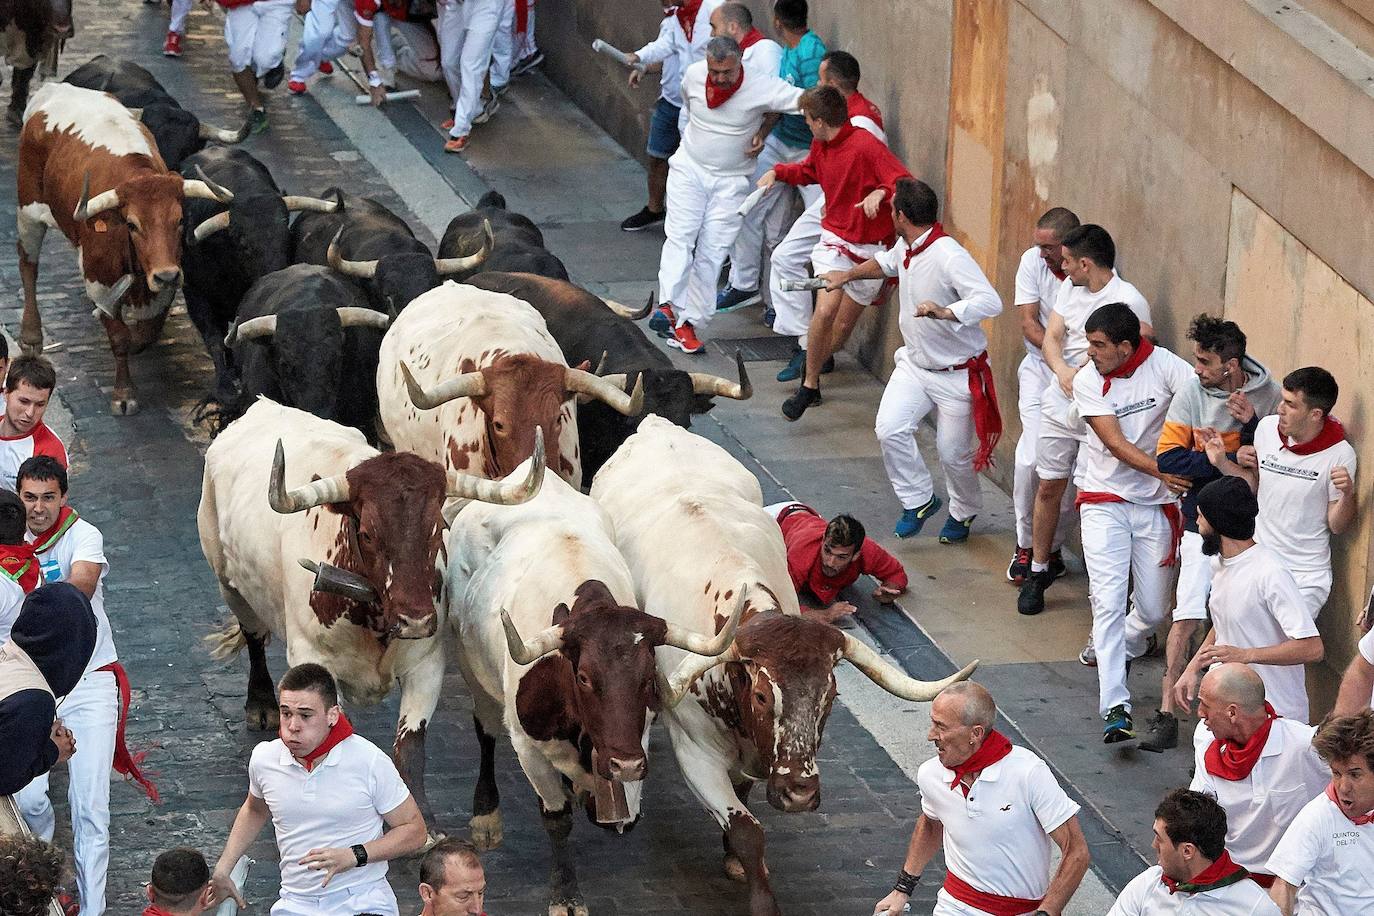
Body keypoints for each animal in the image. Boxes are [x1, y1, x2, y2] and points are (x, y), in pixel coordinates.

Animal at [18, 84, 232, 414]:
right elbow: (119, 336)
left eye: (180, 220)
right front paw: (123, 393)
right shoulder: (98, 279)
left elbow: (145, 332)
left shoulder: (164, 281)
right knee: (28, 265)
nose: (167, 275)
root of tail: (54, 88)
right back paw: (31, 334)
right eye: (132, 224)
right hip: (28, 208)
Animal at [200, 398, 544, 834]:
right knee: (254, 635)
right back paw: (259, 703)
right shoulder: (312, 659)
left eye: (438, 528)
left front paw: (425, 824)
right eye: (366, 533)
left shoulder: (426, 664)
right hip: (228, 583)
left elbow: (410, 749)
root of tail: (262, 405)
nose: (415, 619)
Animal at [445, 472, 741, 916]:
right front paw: (566, 895)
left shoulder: (636, 739)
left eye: (647, 677)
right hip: (471, 668)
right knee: (485, 731)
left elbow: (622, 808)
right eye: (583, 677)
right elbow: (556, 818)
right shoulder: (528, 747)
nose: (625, 765)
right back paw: (487, 817)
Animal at [590, 420, 978, 916]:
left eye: (830, 696)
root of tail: (658, 425)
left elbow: (745, 797)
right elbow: (748, 830)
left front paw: (732, 858)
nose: (799, 795)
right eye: (761, 694)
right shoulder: (696, 753)